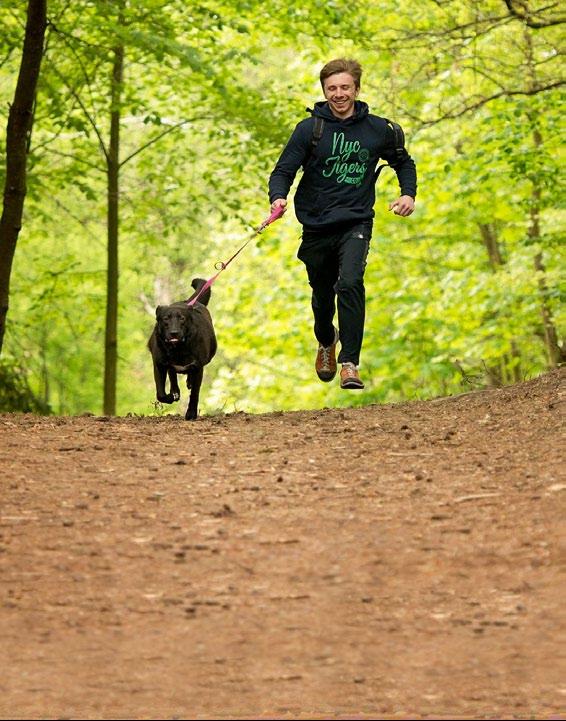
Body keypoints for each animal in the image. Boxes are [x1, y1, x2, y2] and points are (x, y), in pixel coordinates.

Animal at [149, 278, 217, 422]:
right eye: (166, 318)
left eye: (182, 318)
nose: (174, 333)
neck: (178, 349)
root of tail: (189, 301)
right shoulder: (159, 364)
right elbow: (160, 393)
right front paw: (170, 397)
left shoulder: (198, 366)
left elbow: (195, 394)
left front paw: (191, 413)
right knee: (172, 374)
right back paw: (175, 391)